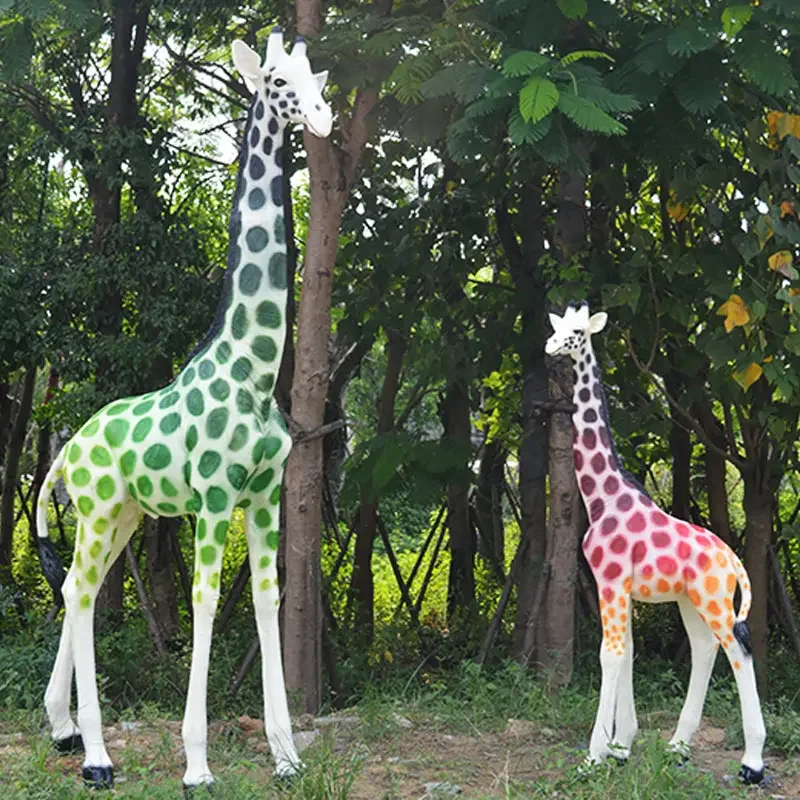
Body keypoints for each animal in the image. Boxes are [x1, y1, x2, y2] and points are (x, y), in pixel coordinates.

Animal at [35, 28, 332, 792]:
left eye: (318, 79)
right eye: (279, 81)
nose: (322, 121)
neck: (255, 370)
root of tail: (67, 449)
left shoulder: (264, 494)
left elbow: (265, 599)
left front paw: (287, 756)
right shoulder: (215, 494)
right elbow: (203, 599)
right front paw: (196, 763)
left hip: (125, 514)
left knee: (79, 587)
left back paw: (64, 729)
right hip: (100, 511)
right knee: (82, 592)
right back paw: (98, 756)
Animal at [545, 302, 766, 785]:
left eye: (576, 332)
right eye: (556, 328)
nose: (550, 347)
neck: (601, 497)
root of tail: (733, 559)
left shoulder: (610, 582)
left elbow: (610, 655)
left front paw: (595, 756)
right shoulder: (619, 587)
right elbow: (626, 654)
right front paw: (621, 746)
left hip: (715, 600)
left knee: (739, 648)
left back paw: (752, 764)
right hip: (689, 600)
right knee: (704, 649)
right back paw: (678, 746)